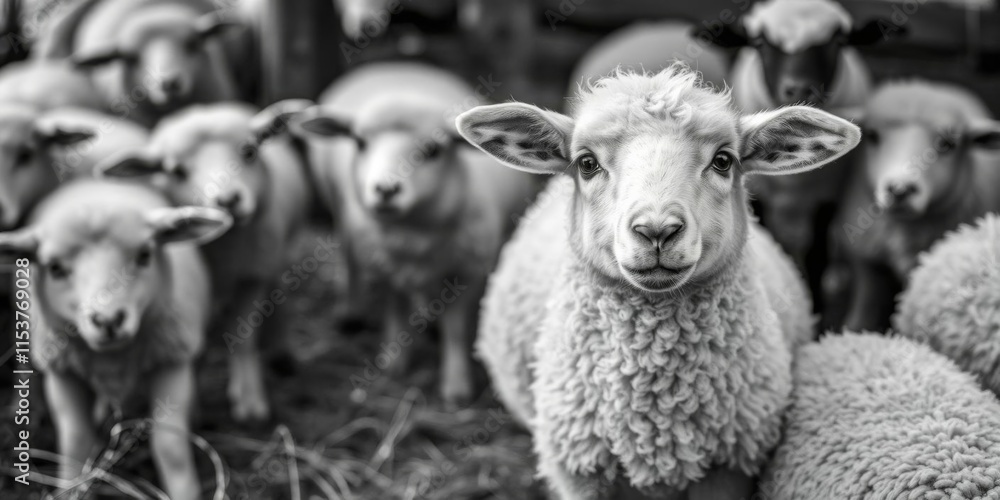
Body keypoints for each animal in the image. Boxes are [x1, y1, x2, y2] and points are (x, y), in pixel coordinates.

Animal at [0, 178, 231, 500]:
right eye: (55, 268)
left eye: (145, 254)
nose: (108, 320)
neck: (115, 356)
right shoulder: (62, 373)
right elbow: (75, 441)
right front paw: (72, 487)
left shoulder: (171, 362)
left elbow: (170, 447)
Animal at [96, 100, 314, 422]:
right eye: (177, 171)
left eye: (249, 151)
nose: (227, 201)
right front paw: (193, 405)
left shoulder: (252, 275)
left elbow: (243, 336)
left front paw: (250, 400)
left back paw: (281, 351)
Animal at [290, 61, 542, 406]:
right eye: (360, 143)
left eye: (433, 150)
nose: (385, 190)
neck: (412, 233)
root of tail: (401, 64)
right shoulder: (385, 271)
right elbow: (395, 314)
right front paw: (394, 365)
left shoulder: (467, 274)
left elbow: (455, 330)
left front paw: (456, 385)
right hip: (339, 209)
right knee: (349, 257)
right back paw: (351, 312)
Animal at [456, 66, 859, 498]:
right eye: (586, 163)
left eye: (723, 161)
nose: (656, 230)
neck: (658, 412)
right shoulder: (580, 472)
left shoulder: (730, 466)